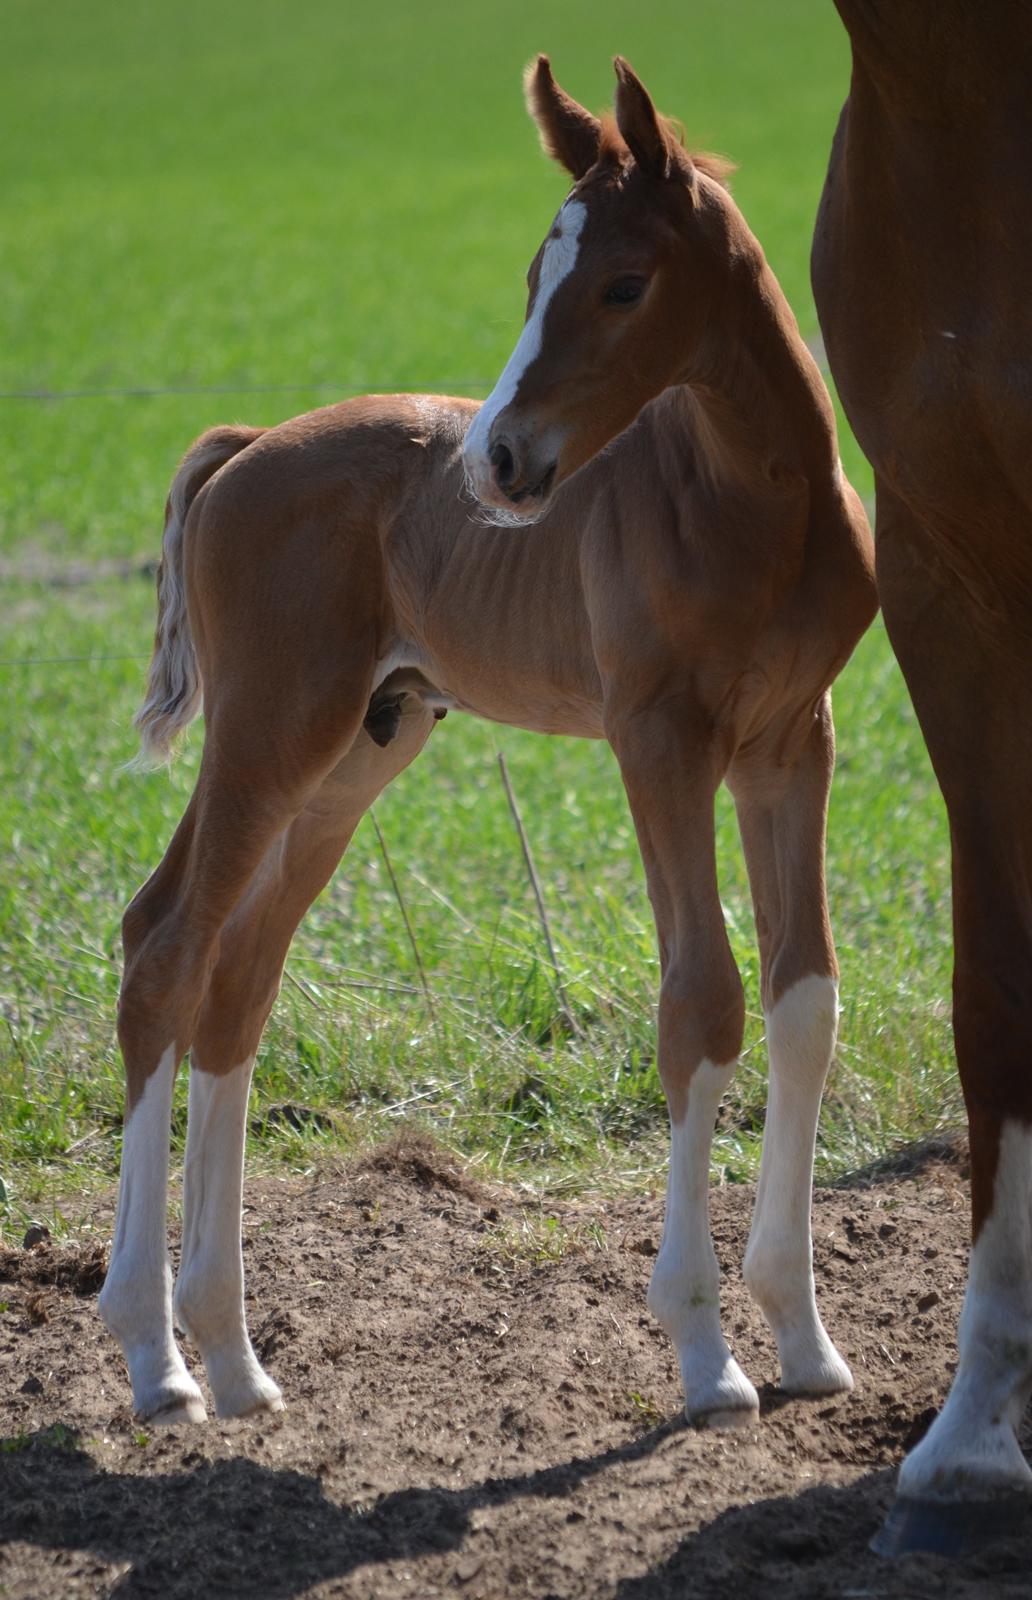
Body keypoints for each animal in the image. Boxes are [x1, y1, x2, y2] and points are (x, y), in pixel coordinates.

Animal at [98, 59, 876, 1440]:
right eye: (530, 277)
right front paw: (705, 1351)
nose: (498, 462)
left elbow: (804, 1002)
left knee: (234, 980)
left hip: (358, 752)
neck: (753, 499)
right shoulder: (658, 738)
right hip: (271, 730)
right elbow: (702, 1001)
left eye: (623, 283)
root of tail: (243, 453)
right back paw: (158, 1358)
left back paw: (236, 1359)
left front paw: (803, 1335)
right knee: (168, 952)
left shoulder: (793, 738)